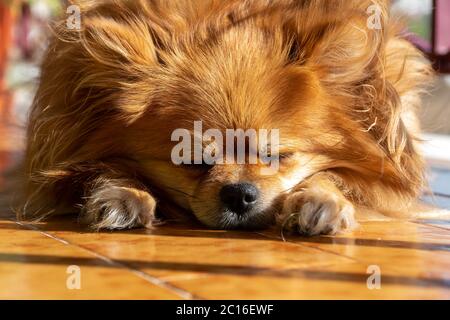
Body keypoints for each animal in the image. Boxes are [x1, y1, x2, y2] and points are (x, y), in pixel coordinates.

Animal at [15, 0, 432, 235]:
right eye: (191, 161)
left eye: (278, 156)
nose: (239, 193)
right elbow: (104, 167)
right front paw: (122, 194)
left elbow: (338, 176)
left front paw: (319, 200)